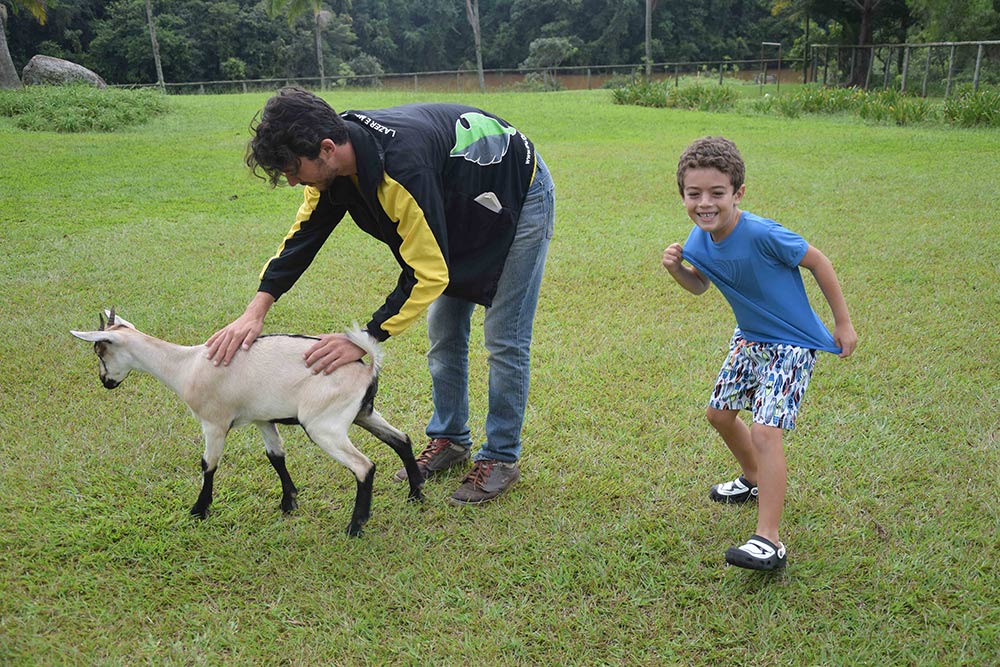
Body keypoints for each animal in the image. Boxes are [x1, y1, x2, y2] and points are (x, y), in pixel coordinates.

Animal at [69, 310, 422, 536]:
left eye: (99, 350)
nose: (106, 382)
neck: (185, 366)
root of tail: (367, 368)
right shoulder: (262, 419)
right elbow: (276, 457)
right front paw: (289, 503)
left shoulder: (214, 422)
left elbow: (208, 464)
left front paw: (199, 510)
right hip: (363, 413)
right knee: (401, 439)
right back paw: (416, 494)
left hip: (325, 425)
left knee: (364, 466)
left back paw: (355, 527)